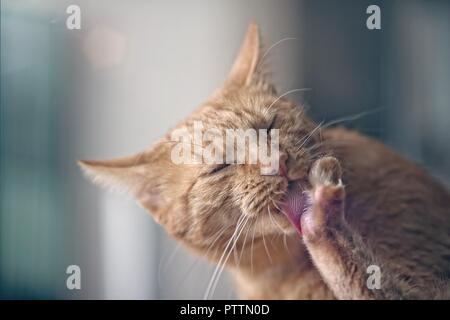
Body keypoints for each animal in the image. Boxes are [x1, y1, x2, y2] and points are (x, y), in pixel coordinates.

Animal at [81, 23, 450, 298]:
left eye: (268, 126)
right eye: (220, 166)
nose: (278, 163)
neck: (287, 271)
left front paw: (324, 223)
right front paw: (321, 222)